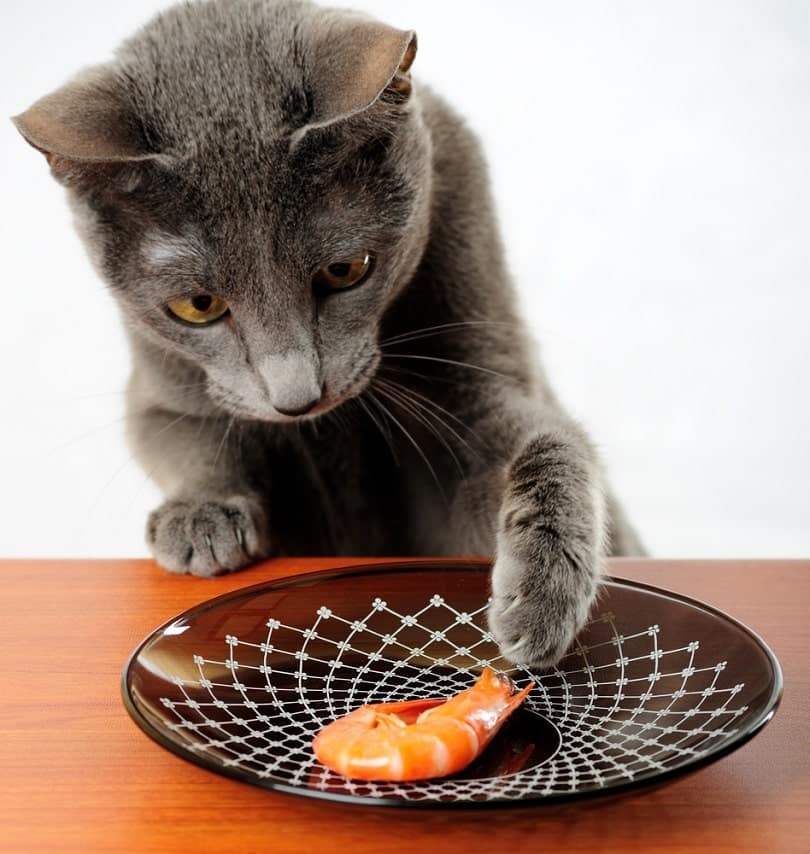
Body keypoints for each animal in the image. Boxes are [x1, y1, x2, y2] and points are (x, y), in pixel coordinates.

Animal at [12, 0, 640, 668]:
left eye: (346, 270)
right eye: (198, 306)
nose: (296, 398)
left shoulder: (482, 370)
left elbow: (548, 442)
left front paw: (540, 596)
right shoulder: (165, 385)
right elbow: (178, 435)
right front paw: (201, 518)